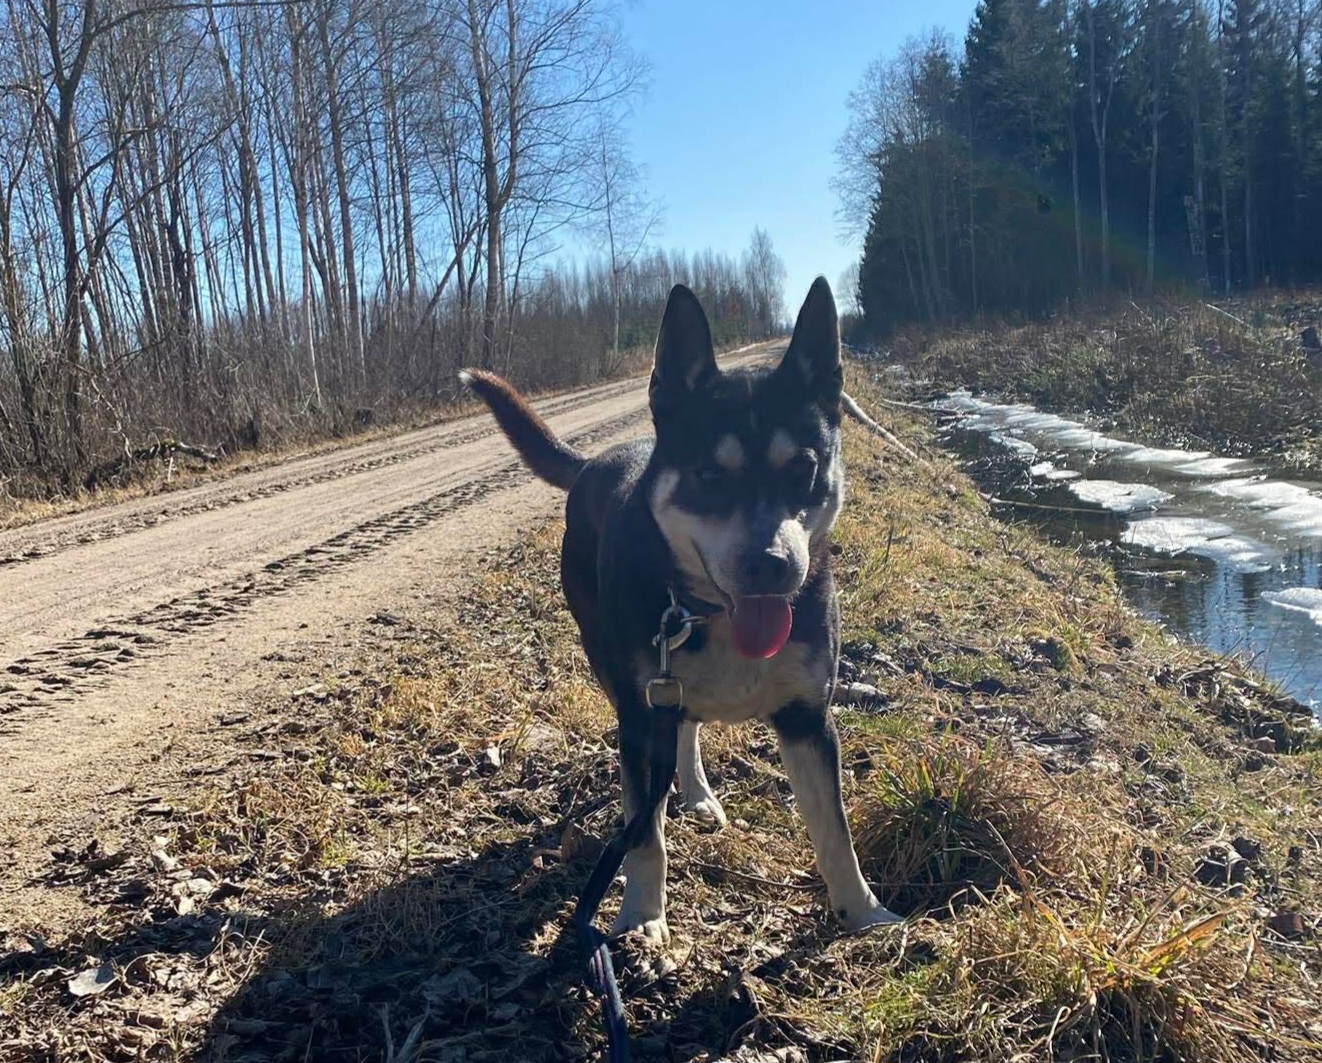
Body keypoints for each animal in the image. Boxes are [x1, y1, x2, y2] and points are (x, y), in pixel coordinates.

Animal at [461, 278, 901, 941]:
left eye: (803, 468)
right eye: (709, 475)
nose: (772, 566)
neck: (709, 614)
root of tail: (595, 461)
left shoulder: (808, 718)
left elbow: (835, 831)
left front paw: (864, 914)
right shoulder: (642, 718)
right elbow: (645, 837)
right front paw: (642, 916)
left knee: (687, 726)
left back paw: (692, 792)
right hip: (616, 669)